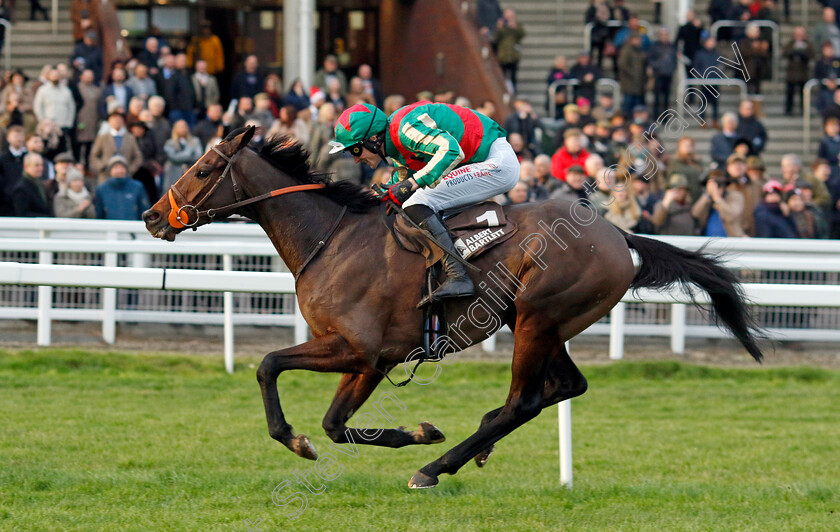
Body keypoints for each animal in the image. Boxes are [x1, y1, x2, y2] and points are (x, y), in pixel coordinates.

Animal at [143, 127, 760, 488]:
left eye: (203, 169)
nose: (151, 216)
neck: (333, 238)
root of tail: (615, 233)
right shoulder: (375, 360)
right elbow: (336, 424)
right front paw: (419, 431)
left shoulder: (355, 348)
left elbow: (269, 365)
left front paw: (297, 439)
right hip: (542, 323)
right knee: (563, 387)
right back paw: (470, 447)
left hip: (538, 319)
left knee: (525, 399)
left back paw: (435, 468)